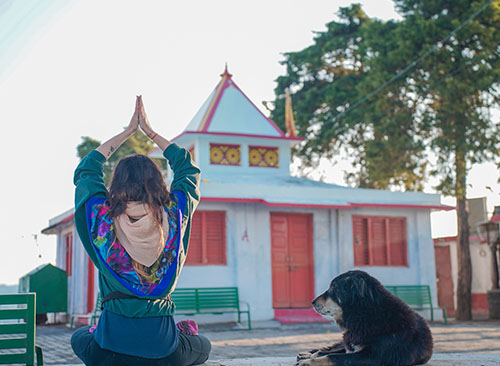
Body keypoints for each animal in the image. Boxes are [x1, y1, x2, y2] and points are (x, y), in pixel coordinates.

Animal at [296, 270, 434, 364]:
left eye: (333, 289)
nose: (313, 301)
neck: (366, 314)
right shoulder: (351, 346)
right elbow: (327, 352)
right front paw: (310, 357)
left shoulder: (372, 356)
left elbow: (333, 356)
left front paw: (308, 362)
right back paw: (306, 353)